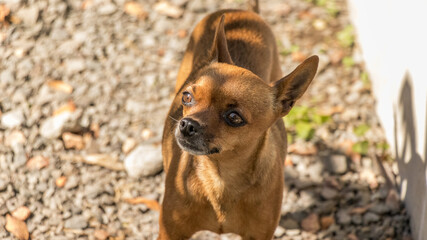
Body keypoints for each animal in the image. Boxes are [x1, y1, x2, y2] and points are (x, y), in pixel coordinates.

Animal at [159, 2, 320, 239]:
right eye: (186, 97)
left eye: (234, 117)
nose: (187, 124)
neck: (220, 179)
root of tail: (243, 10)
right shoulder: (170, 232)